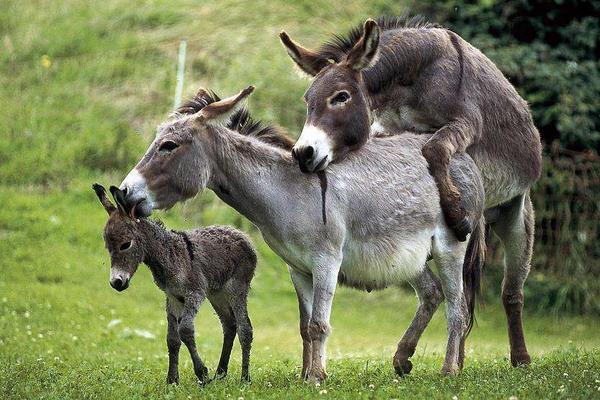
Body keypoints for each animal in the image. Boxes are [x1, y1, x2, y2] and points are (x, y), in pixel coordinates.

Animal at [94, 184, 255, 384]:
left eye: (125, 245)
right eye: (108, 247)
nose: (116, 282)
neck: (169, 255)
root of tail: (241, 234)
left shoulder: (194, 293)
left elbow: (185, 330)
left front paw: (202, 373)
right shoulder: (173, 297)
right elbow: (172, 339)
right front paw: (172, 380)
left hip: (236, 288)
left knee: (245, 329)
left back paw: (244, 379)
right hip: (217, 293)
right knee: (229, 325)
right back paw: (220, 373)